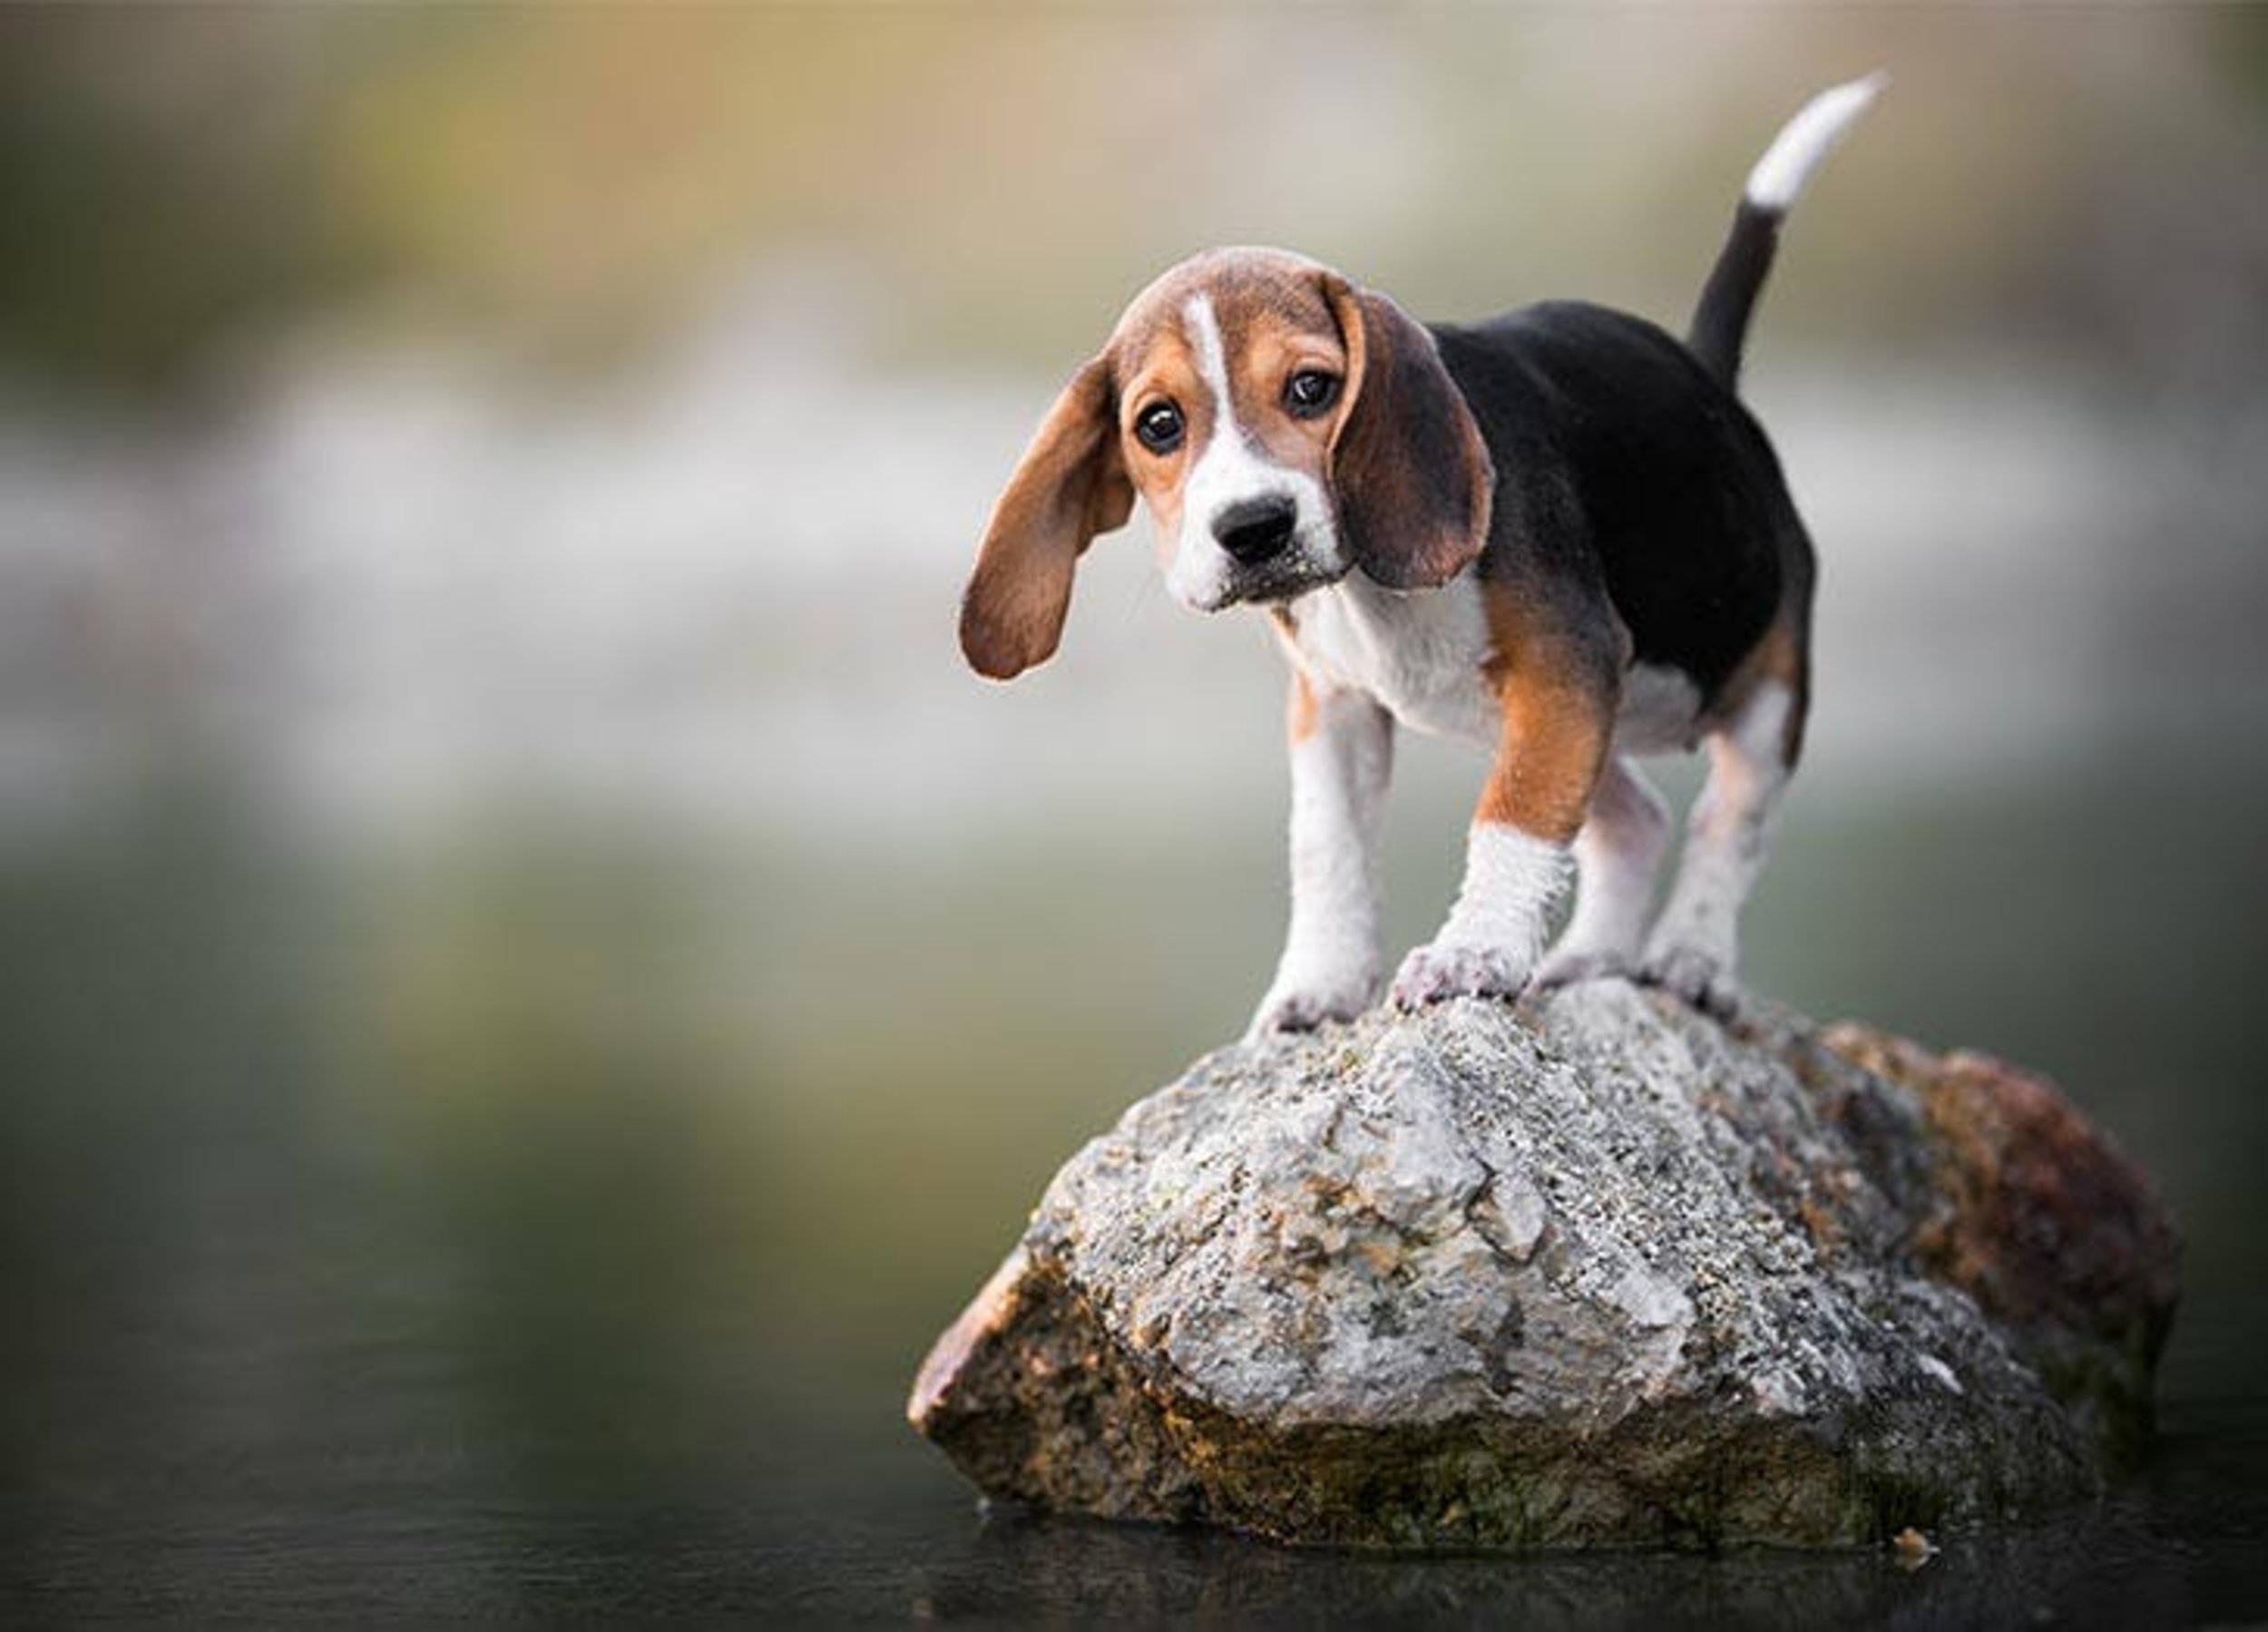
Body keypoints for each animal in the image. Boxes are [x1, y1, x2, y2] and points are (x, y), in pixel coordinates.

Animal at [966, 80, 1887, 1033]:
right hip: (1577, 713)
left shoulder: (1568, 660)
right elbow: (1328, 848)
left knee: (1726, 826)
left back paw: (1690, 958)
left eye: (1312, 387)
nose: (1253, 527)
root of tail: (1711, 383)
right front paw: (1318, 984)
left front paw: (1470, 953)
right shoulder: (1336, 706)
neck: (1366, 587)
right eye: (1158, 424)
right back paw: (1595, 955)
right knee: (1637, 819)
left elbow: (1513, 818)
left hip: (1757, 693)